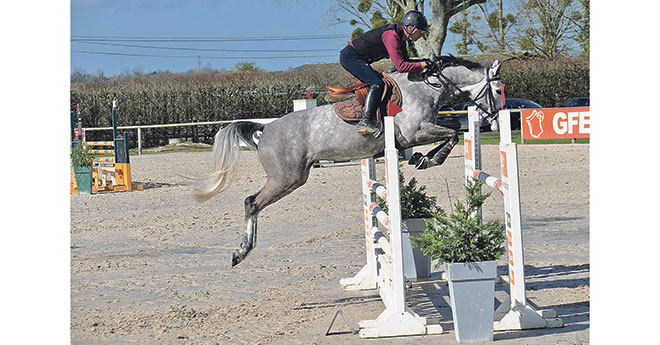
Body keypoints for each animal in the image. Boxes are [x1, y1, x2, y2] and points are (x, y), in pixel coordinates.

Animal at [193, 56, 502, 266]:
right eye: (498, 91)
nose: (496, 121)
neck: (428, 88)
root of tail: (265, 129)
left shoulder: (419, 133)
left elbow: (452, 133)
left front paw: (421, 158)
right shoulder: (416, 132)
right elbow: (453, 134)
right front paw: (429, 159)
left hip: (290, 177)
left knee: (253, 202)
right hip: (287, 177)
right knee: (252, 202)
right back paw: (241, 252)